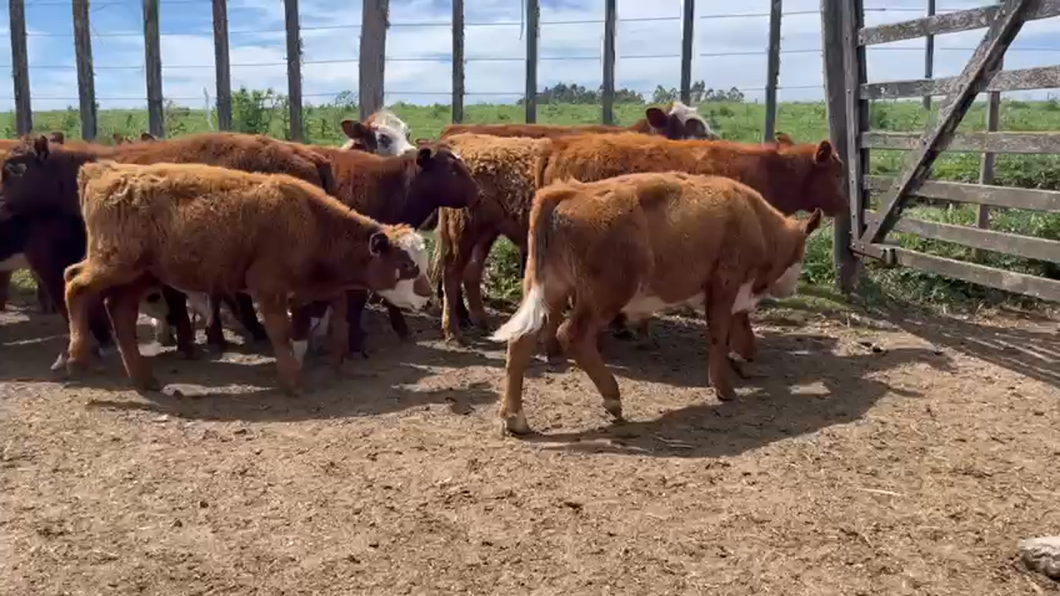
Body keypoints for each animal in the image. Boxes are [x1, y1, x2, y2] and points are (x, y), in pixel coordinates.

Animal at [63, 162, 421, 392]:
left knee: (120, 312)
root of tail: (102, 170)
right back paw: (77, 357)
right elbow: (280, 330)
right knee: (74, 282)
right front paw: (292, 379)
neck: (310, 219)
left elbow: (338, 311)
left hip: (139, 275)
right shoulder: (269, 286)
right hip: (114, 264)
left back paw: (142, 378)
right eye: (407, 265)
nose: (427, 296)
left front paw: (338, 358)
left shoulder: (312, 286)